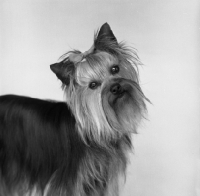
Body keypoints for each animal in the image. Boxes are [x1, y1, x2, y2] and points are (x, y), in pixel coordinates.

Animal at [0, 23, 147, 196]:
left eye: (115, 69)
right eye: (93, 85)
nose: (116, 87)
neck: (97, 132)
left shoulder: (103, 178)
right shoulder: (71, 180)